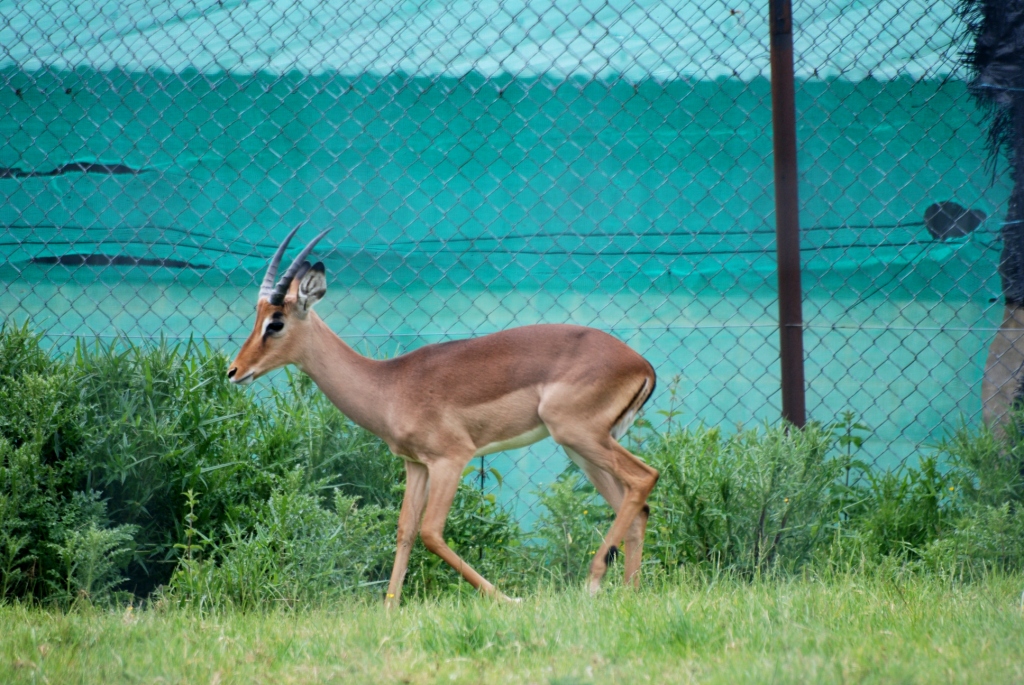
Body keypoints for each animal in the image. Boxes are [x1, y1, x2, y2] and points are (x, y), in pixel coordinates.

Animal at [228, 227, 660, 607]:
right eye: (257, 317)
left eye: (276, 322)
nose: (233, 371)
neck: (389, 385)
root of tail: (642, 364)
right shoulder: (415, 465)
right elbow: (404, 531)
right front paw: (389, 611)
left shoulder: (450, 459)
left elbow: (431, 533)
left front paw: (511, 599)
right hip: (580, 450)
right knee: (637, 506)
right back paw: (630, 595)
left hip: (577, 436)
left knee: (645, 477)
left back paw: (593, 583)